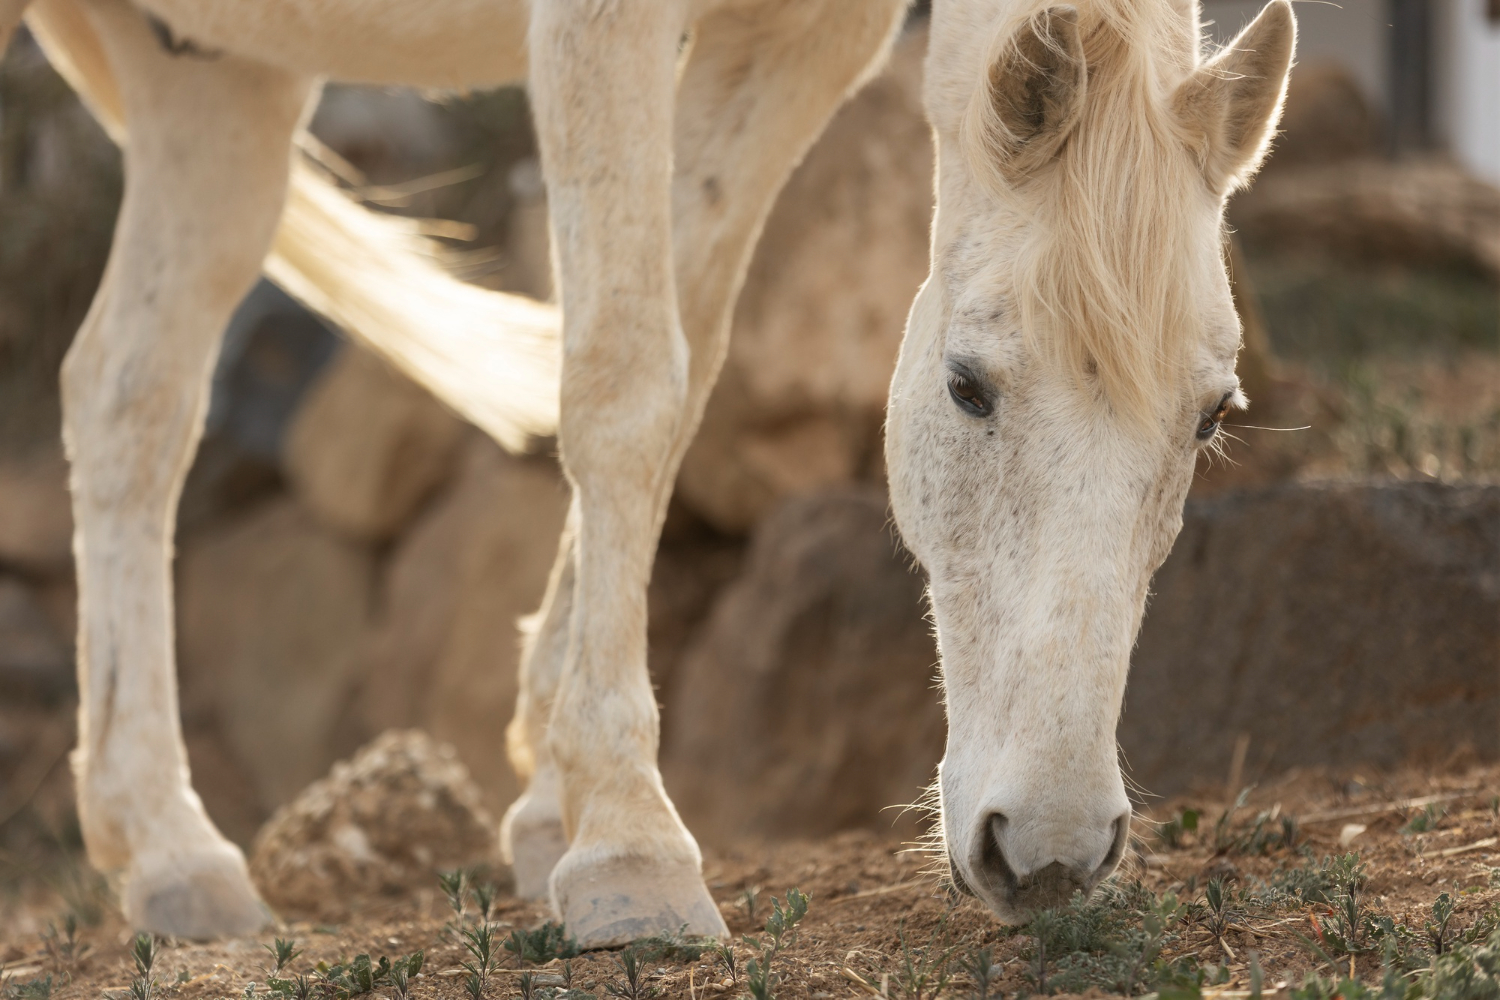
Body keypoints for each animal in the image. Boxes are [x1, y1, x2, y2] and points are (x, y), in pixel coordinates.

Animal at [0, 0, 1290, 947]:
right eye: (968, 386)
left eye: (1211, 418)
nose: (1052, 850)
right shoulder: (601, 27)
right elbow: (624, 380)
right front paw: (630, 843)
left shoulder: (793, 42)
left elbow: (689, 350)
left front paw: (546, 804)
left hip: (216, 82)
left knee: (129, 401)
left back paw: (169, 855)